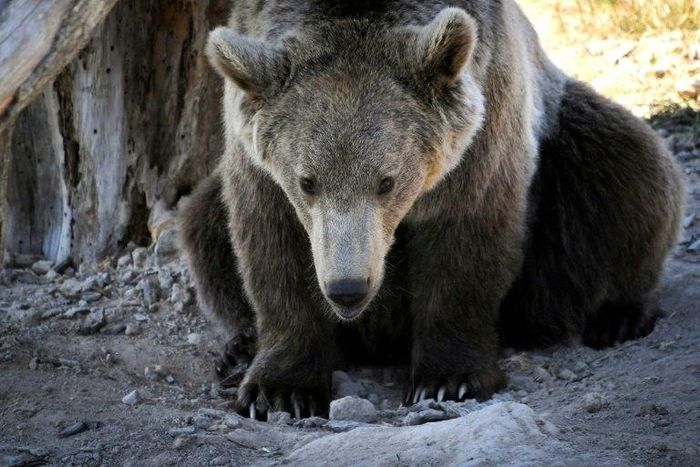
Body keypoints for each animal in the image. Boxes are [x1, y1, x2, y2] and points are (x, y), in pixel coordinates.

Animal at [181, 0, 685, 419]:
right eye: (307, 181)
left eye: (386, 181)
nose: (348, 289)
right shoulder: (259, 164)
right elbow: (269, 245)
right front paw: (277, 390)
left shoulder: (482, 131)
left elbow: (465, 242)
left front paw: (448, 379)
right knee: (203, 224)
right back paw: (238, 348)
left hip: (567, 152)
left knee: (630, 173)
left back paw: (618, 314)